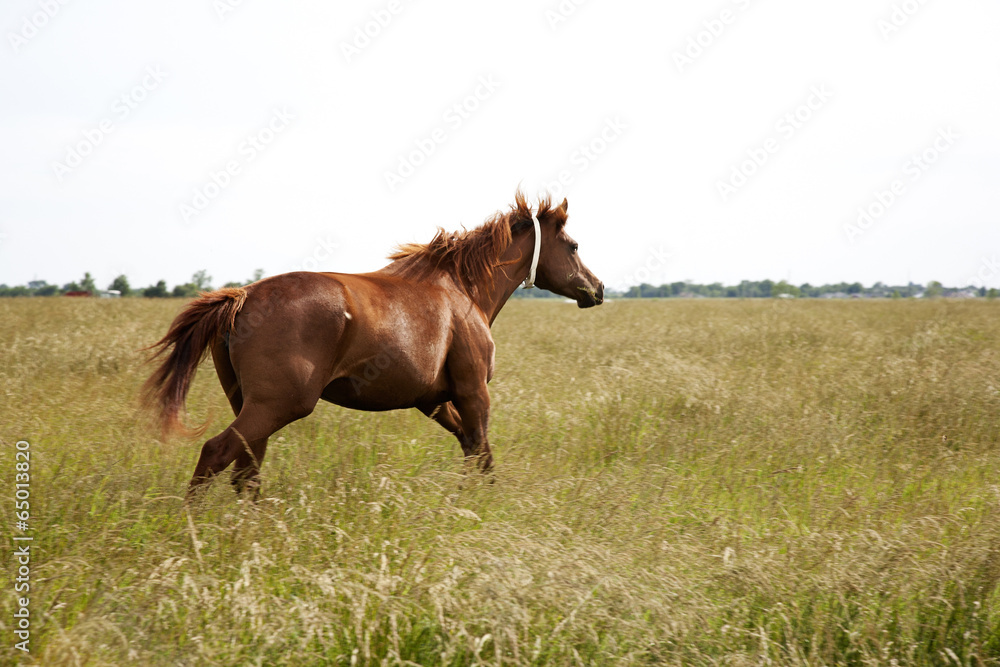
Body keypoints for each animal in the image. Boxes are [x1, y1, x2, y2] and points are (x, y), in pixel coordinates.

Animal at [142, 191, 604, 500]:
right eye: (574, 246)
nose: (597, 290)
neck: (462, 289)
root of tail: (243, 297)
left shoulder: (433, 400)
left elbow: (469, 445)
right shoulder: (474, 392)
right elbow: (482, 451)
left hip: (252, 405)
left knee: (245, 470)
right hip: (277, 406)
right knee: (216, 453)